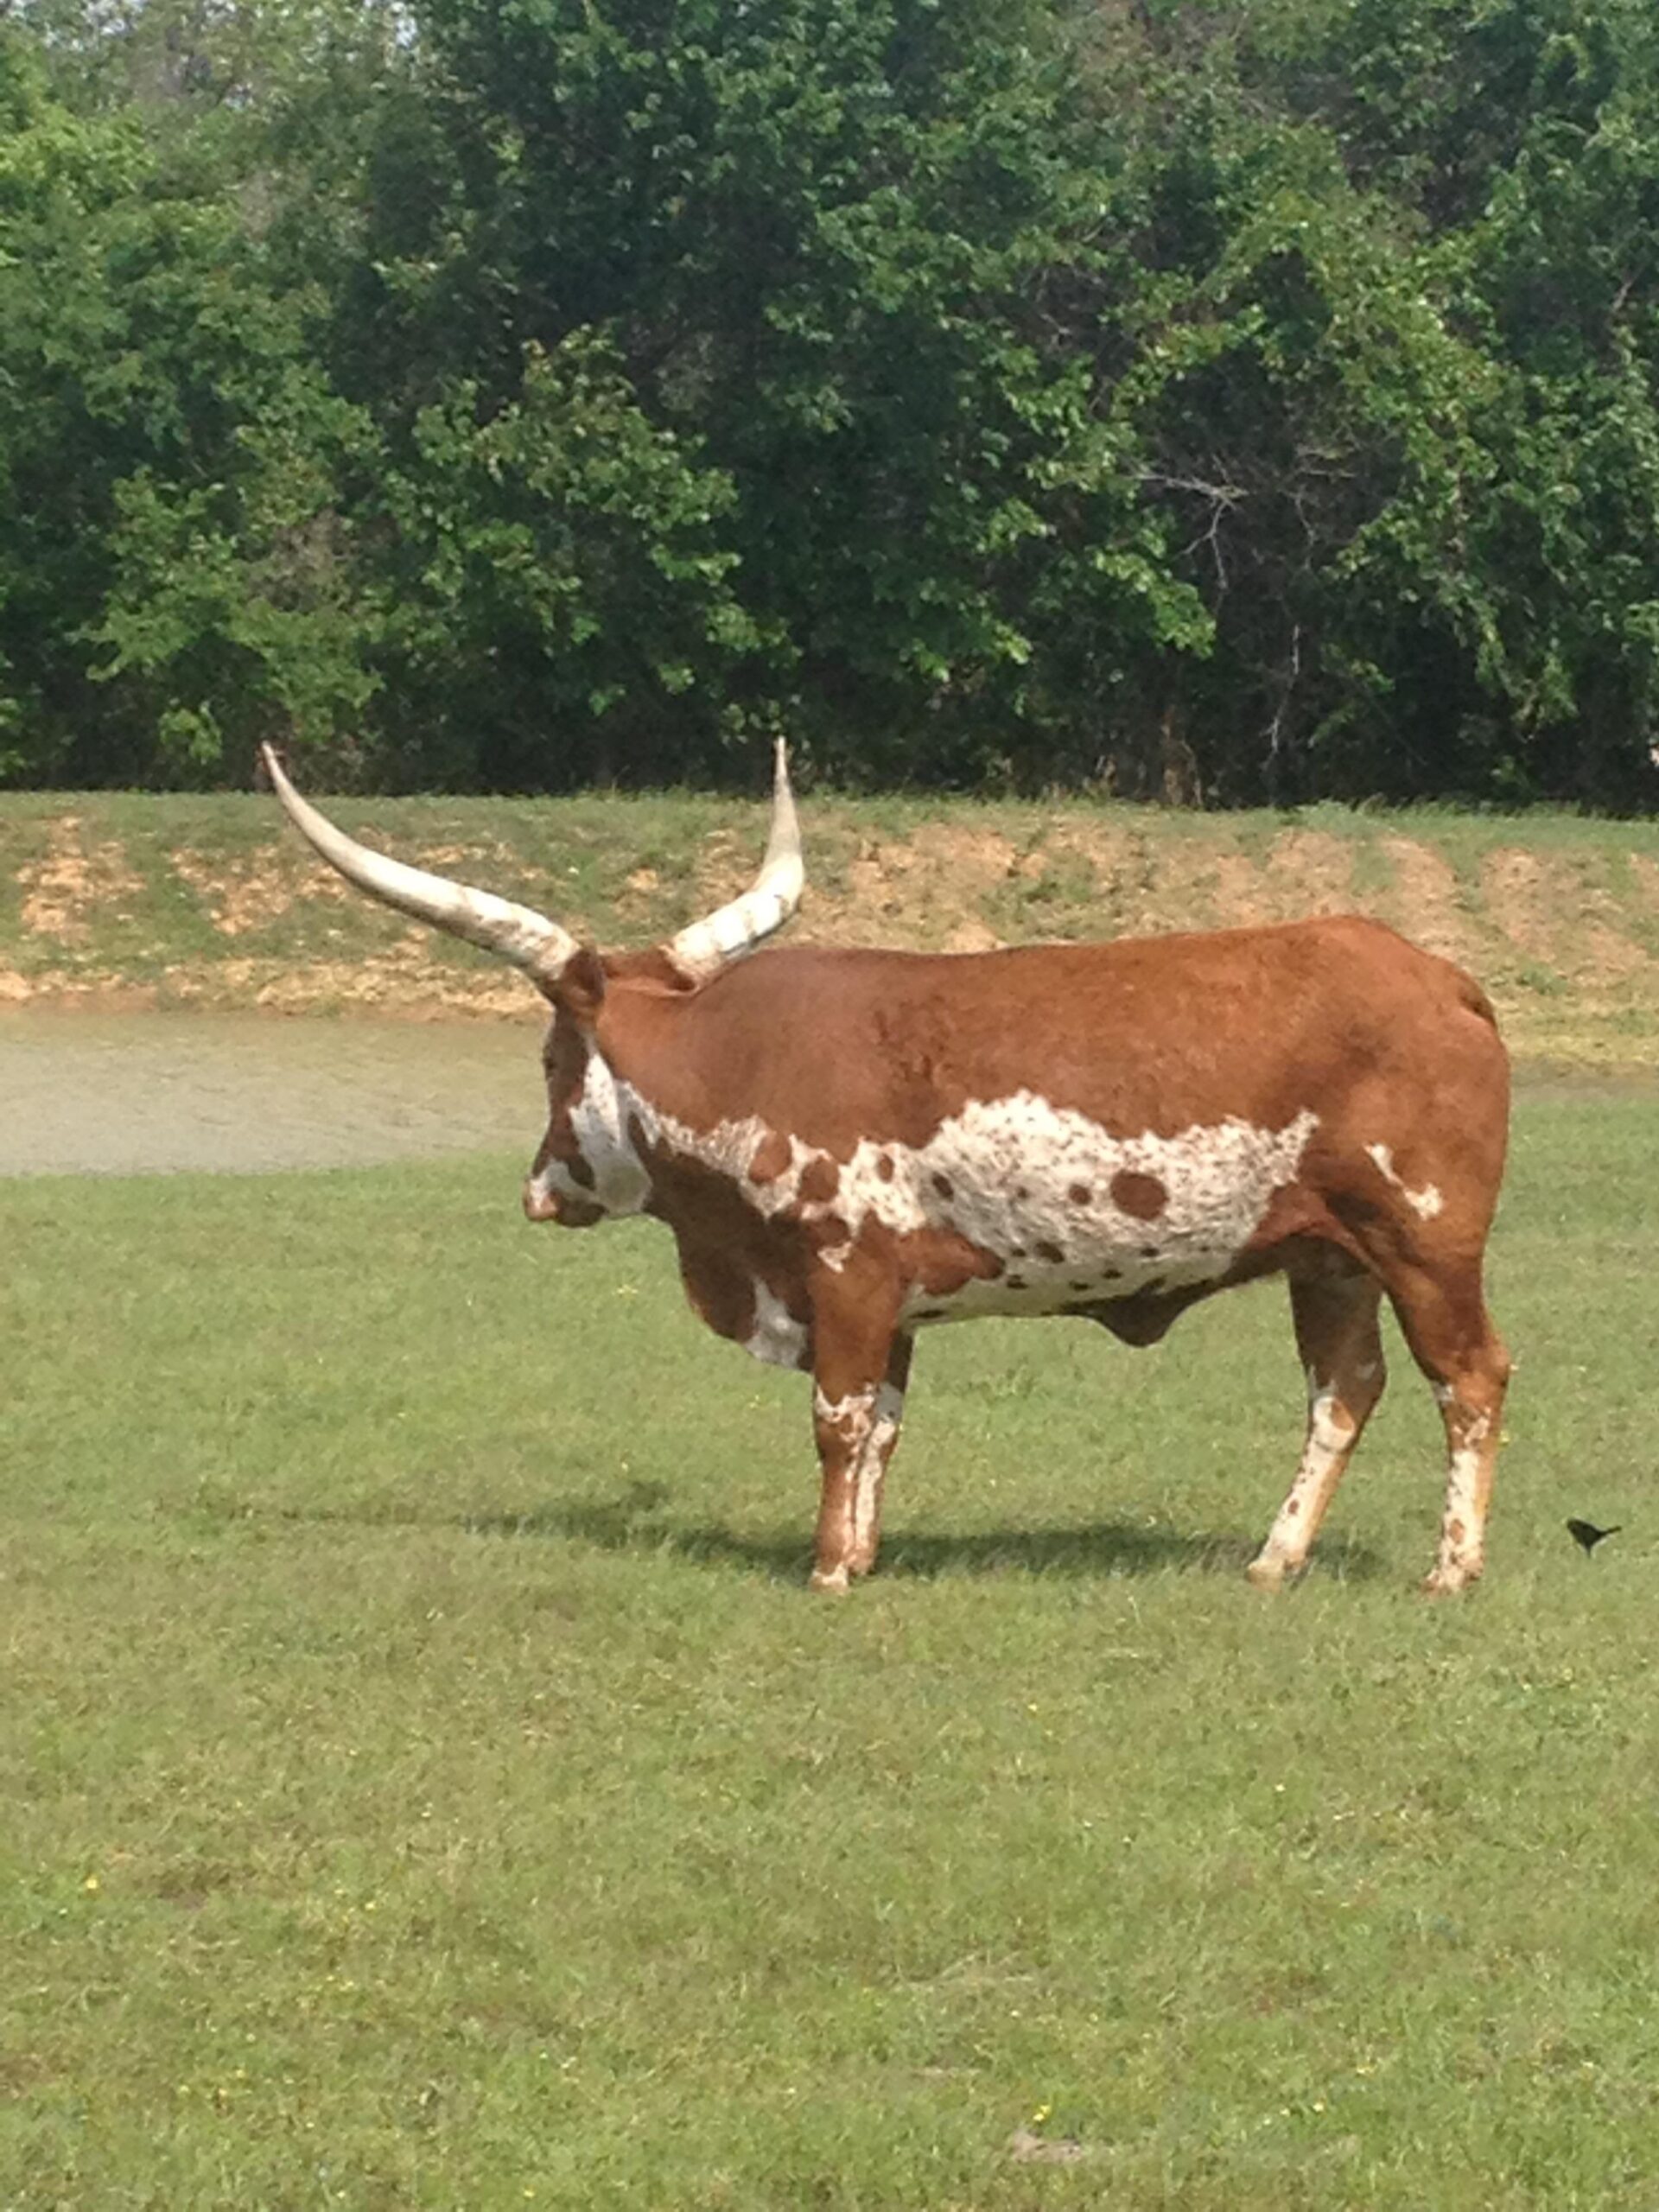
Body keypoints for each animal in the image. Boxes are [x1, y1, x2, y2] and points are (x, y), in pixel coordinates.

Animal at [262, 744, 1511, 1597]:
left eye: (550, 1056)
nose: (538, 1186)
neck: (729, 1065)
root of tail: (1439, 975)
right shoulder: (892, 1299)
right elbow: (887, 1427)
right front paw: (860, 1552)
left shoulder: (846, 1277)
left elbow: (839, 1419)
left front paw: (824, 1568)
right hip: (1330, 1257)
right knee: (1343, 1390)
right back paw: (1273, 1560)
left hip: (1426, 1243)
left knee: (1471, 1380)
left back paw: (1451, 1570)